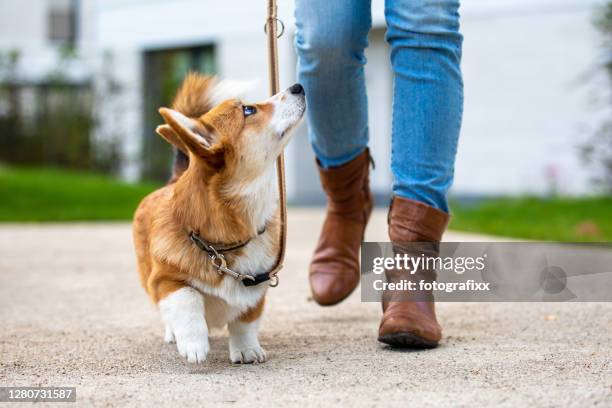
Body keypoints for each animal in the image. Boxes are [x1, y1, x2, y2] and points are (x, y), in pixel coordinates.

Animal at [134, 72, 306, 364]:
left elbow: (245, 322)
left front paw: (247, 350)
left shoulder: (256, 287)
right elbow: (188, 298)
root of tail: (174, 178)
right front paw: (194, 344)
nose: (298, 87)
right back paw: (173, 334)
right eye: (248, 110)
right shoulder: (164, 281)